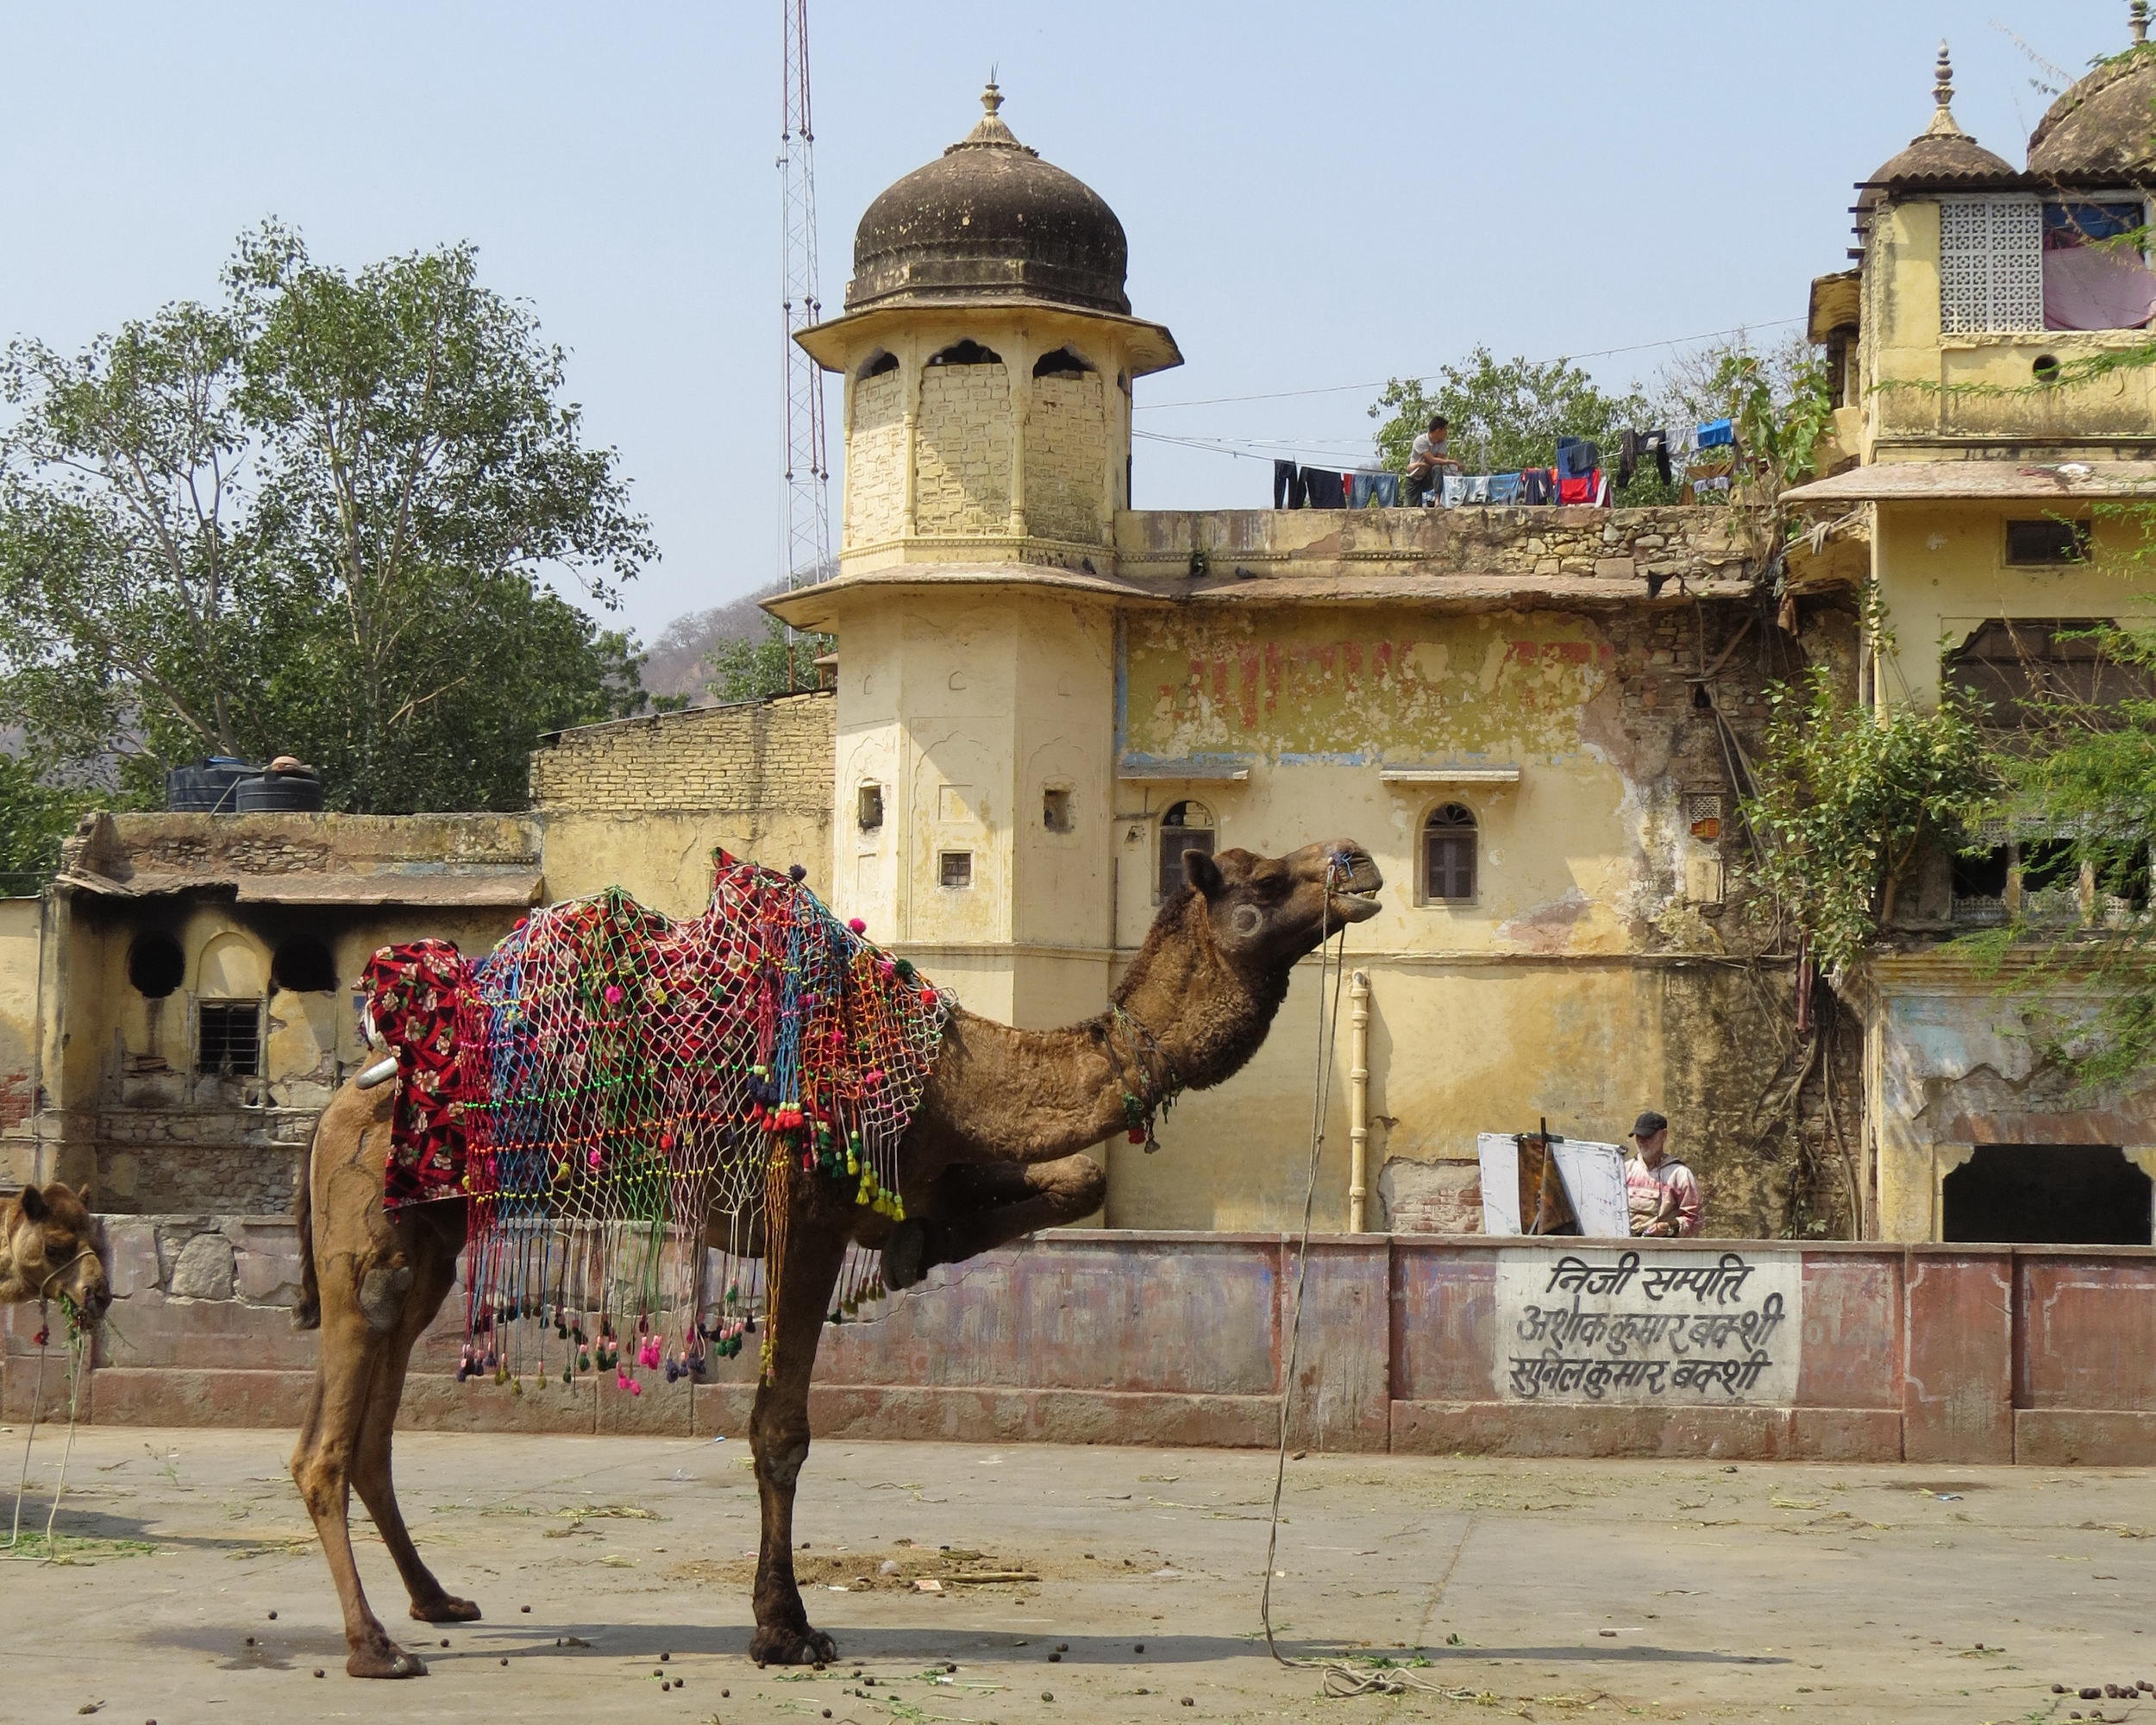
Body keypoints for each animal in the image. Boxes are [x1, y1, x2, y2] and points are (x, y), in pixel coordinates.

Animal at [286, 837, 1380, 1673]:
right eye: (1257, 880)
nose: (1358, 861)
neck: (955, 1071)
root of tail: (342, 1097)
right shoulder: (804, 1212)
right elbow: (781, 1430)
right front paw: (785, 1629)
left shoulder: (915, 1170)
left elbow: (1075, 1182)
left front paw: (915, 1248)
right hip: (369, 1237)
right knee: (326, 1443)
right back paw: (374, 1645)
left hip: (426, 1242)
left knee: (365, 1429)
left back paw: (436, 1601)